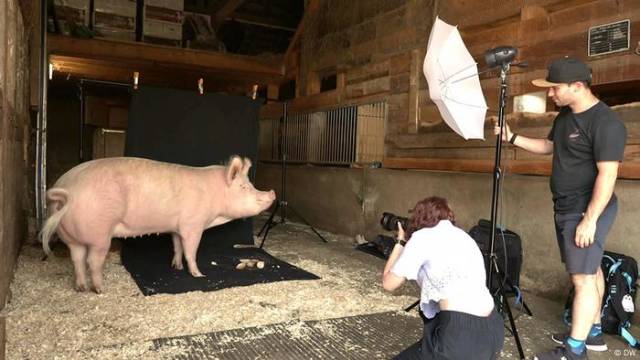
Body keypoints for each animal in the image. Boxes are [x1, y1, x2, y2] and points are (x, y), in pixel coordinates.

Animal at [40, 155, 276, 292]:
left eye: (250, 184)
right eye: (244, 187)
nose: (272, 193)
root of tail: (66, 192)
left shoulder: (177, 227)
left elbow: (177, 246)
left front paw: (176, 267)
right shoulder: (193, 224)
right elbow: (191, 250)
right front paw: (199, 275)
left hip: (71, 237)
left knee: (77, 260)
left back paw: (81, 288)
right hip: (99, 235)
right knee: (92, 261)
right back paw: (100, 289)